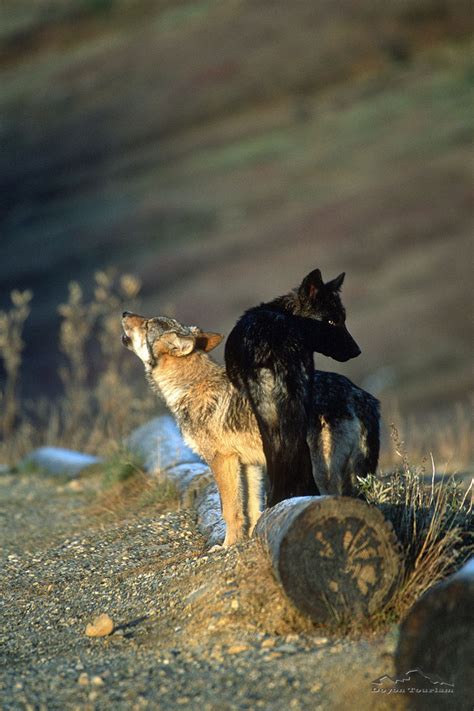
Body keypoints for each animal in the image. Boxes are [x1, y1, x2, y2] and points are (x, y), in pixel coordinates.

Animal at [224, 268, 364, 506]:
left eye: (342, 320)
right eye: (331, 321)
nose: (357, 351)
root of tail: (279, 342)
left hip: (267, 407)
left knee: (276, 445)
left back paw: (278, 496)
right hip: (298, 400)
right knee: (299, 444)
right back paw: (304, 491)